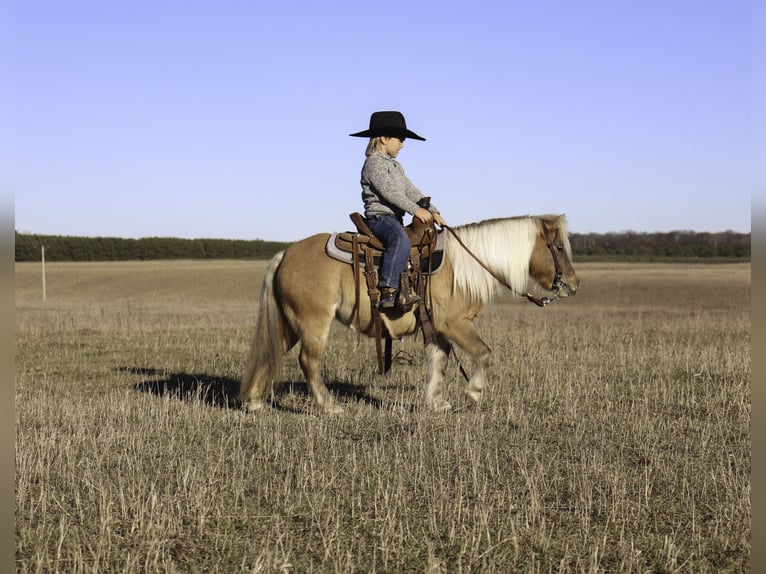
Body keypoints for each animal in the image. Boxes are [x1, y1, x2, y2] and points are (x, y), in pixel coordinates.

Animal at [240, 216, 584, 414]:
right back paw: (329, 407)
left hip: (290, 322)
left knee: (273, 352)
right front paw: (473, 391)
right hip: (313, 323)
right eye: (558, 248)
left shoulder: (439, 328)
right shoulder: (455, 324)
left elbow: (439, 361)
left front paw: (436, 402)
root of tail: (286, 253)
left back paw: (254, 401)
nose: (574, 284)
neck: (464, 267)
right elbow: (485, 354)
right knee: (308, 362)